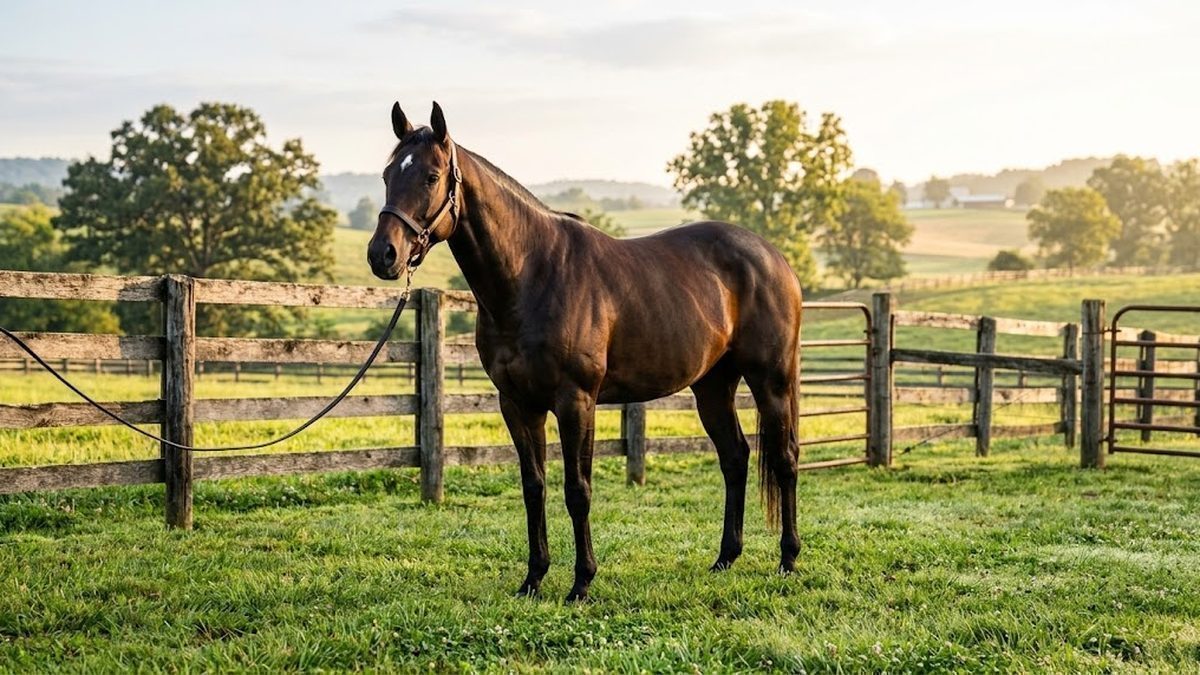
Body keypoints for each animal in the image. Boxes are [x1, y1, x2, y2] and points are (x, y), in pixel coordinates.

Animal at [368, 102, 804, 602]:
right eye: (387, 174)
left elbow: (578, 490)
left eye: (431, 176)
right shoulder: (517, 403)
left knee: (786, 459)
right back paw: (725, 558)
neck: (532, 274)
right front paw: (534, 578)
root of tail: (775, 258)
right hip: (713, 386)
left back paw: (788, 559)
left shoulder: (576, 400)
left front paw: (581, 582)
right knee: (734, 458)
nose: (383, 254)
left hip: (771, 380)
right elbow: (533, 486)